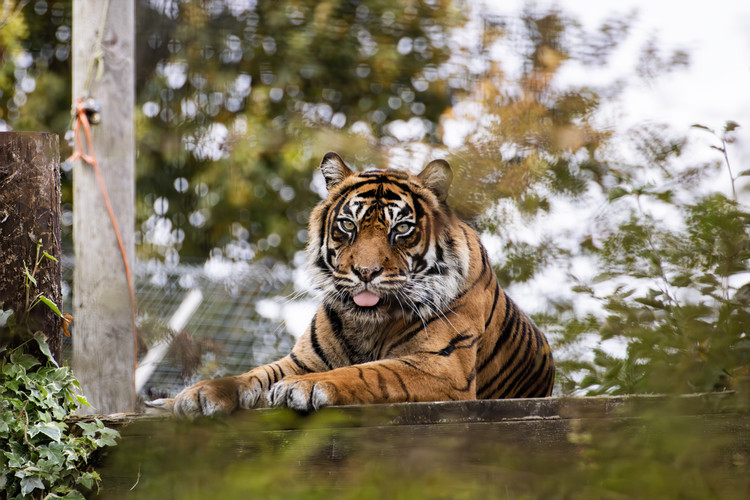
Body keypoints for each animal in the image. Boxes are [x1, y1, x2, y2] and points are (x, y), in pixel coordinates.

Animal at [149, 152, 555, 417]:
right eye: (348, 225)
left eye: (401, 229)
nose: (365, 271)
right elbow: (255, 375)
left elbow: (370, 371)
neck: (369, 323)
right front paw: (200, 393)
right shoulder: (302, 359)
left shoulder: (442, 367)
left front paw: (305, 387)